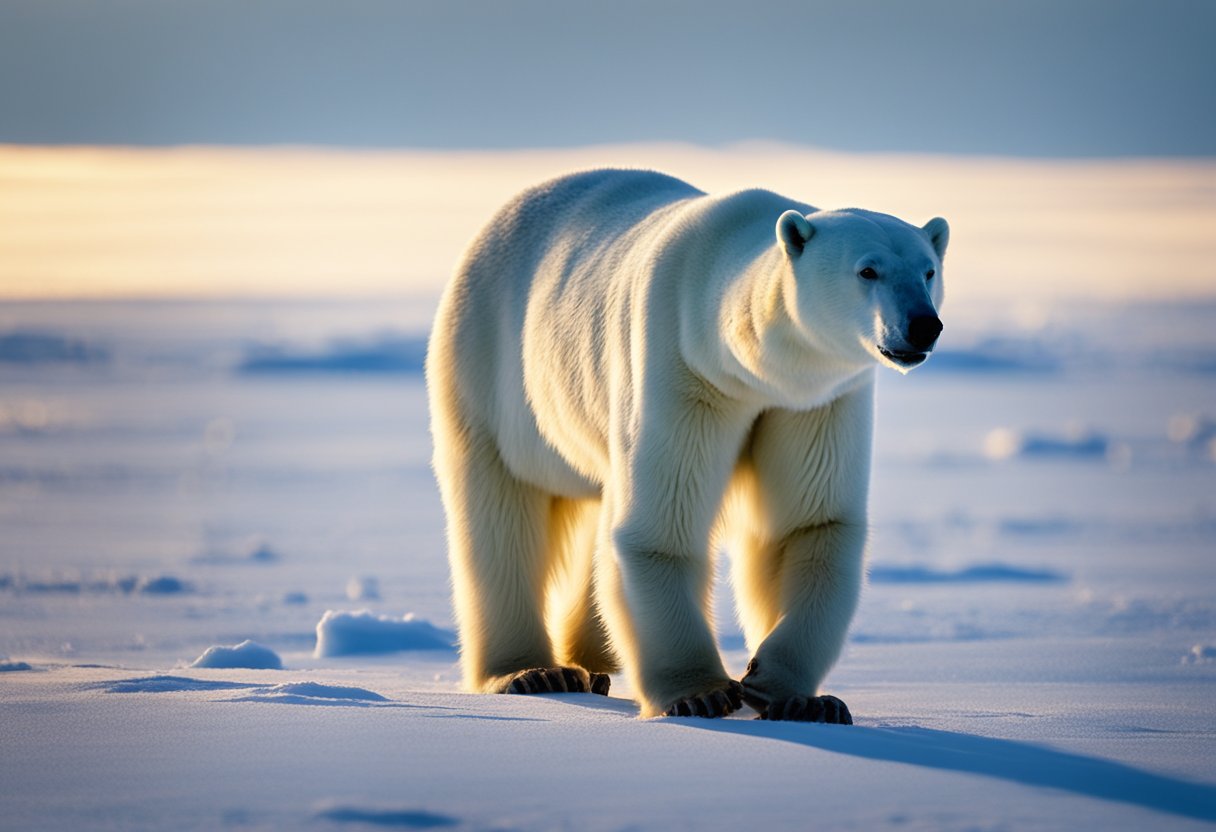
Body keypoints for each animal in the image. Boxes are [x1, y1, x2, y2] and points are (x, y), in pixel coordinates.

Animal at [426, 168, 948, 721]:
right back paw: (532, 672)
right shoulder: (682, 368)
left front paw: (797, 697)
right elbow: (660, 528)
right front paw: (701, 694)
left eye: (928, 271)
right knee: (499, 514)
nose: (923, 324)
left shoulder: (814, 400)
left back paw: (591, 662)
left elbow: (808, 524)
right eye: (868, 270)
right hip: (487, 369)